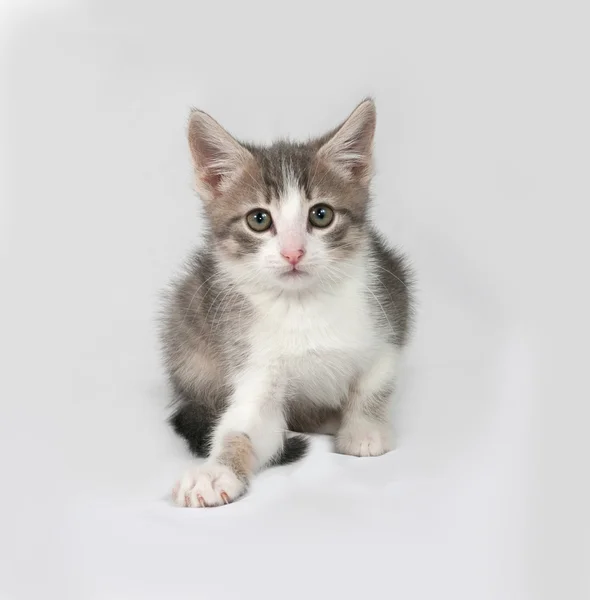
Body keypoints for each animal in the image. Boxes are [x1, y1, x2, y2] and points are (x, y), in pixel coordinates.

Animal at [160, 98, 414, 506]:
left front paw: (364, 430)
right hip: (186, 326)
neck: (302, 305)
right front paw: (214, 473)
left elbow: (373, 385)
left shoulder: (390, 314)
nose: (293, 252)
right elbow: (244, 426)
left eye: (321, 214)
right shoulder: (252, 360)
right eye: (259, 219)